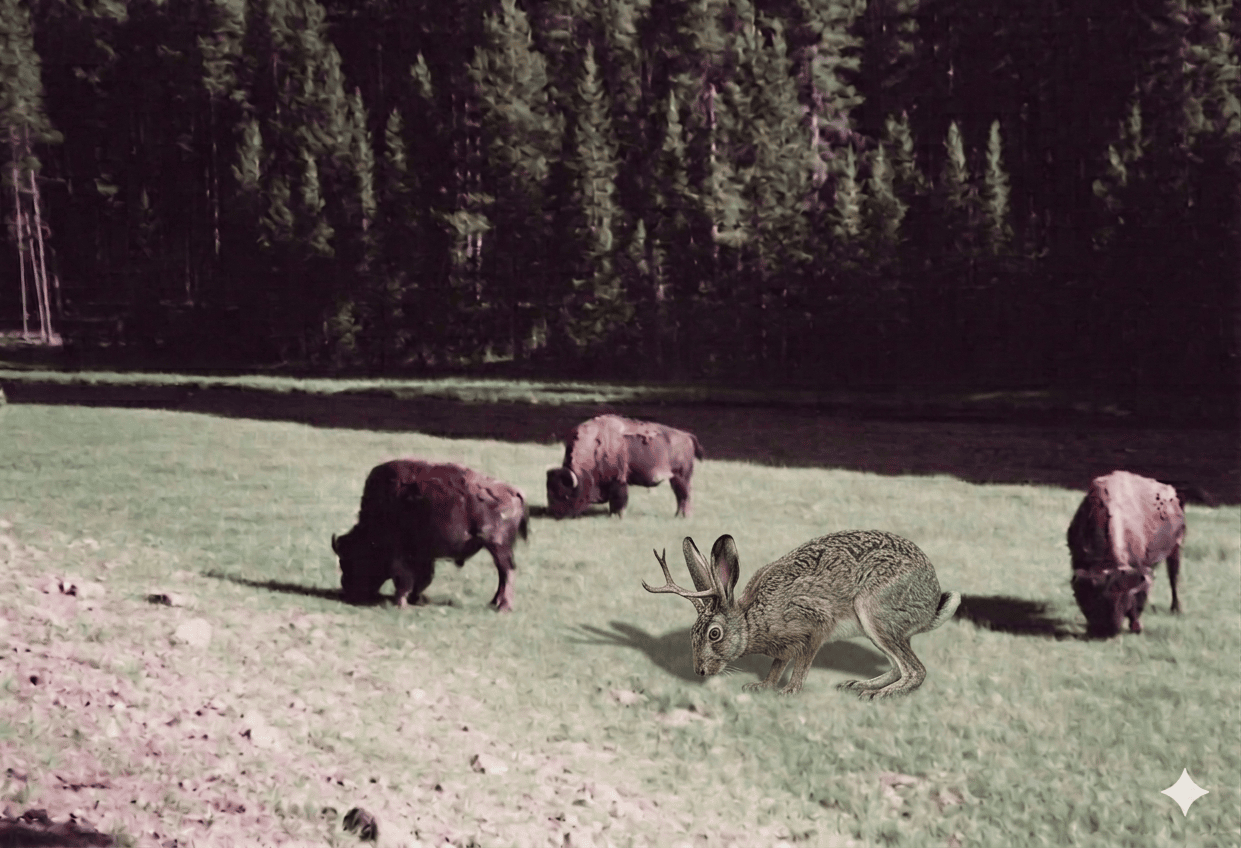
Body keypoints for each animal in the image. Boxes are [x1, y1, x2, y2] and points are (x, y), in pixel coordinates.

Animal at [332, 460, 528, 612]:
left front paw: (401, 603)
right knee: (503, 574)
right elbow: (421, 577)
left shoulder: (400, 554)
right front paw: (414, 599)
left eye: (348, 560)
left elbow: (404, 578)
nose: (346, 588)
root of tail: (514, 492)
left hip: (498, 546)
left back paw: (504, 607)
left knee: (507, 572)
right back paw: (494, 602)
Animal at [546, 415, 703, 518]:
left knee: (684, 496)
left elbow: (619, 499)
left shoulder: (618, 480)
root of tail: (687, 436)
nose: (556, 514)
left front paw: (618, 515)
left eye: (566, 495)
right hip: (676, 479)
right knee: (681, 496)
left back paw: (683, 516)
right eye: (549, 493)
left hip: (681, 478)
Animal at [1067, 470, 1186, 637]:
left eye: (1123, 598)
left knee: (1173, 578)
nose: (1107, 630)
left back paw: (1176, 609)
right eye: (1090, 599)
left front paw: (1136, 626)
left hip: (1175, 549)